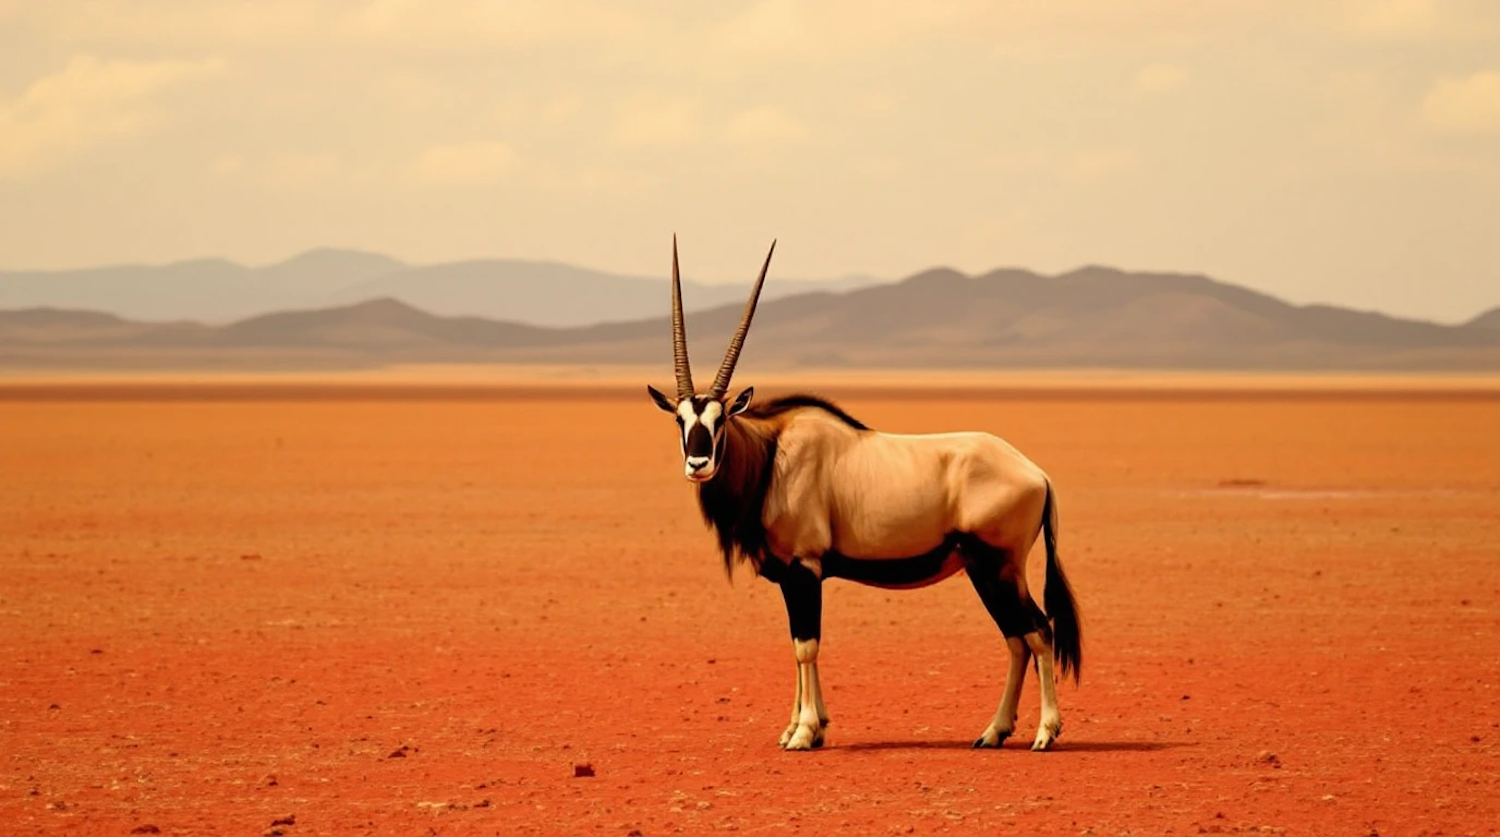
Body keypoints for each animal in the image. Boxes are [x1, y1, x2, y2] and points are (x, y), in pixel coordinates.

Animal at [645, 238, 1080, 756]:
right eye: (680, 419)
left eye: (720, 420)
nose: (698, 464)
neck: (772, 456)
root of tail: (1039, 475)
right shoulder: (791, 577)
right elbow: (794, 644)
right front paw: (800, 728)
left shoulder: (805, 567)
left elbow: (806, 645)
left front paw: (805, 732)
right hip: (983, 570)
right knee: (1017, 638)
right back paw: (994, 732)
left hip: (1000, 566)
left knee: (1039, 631)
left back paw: (1045, 732)